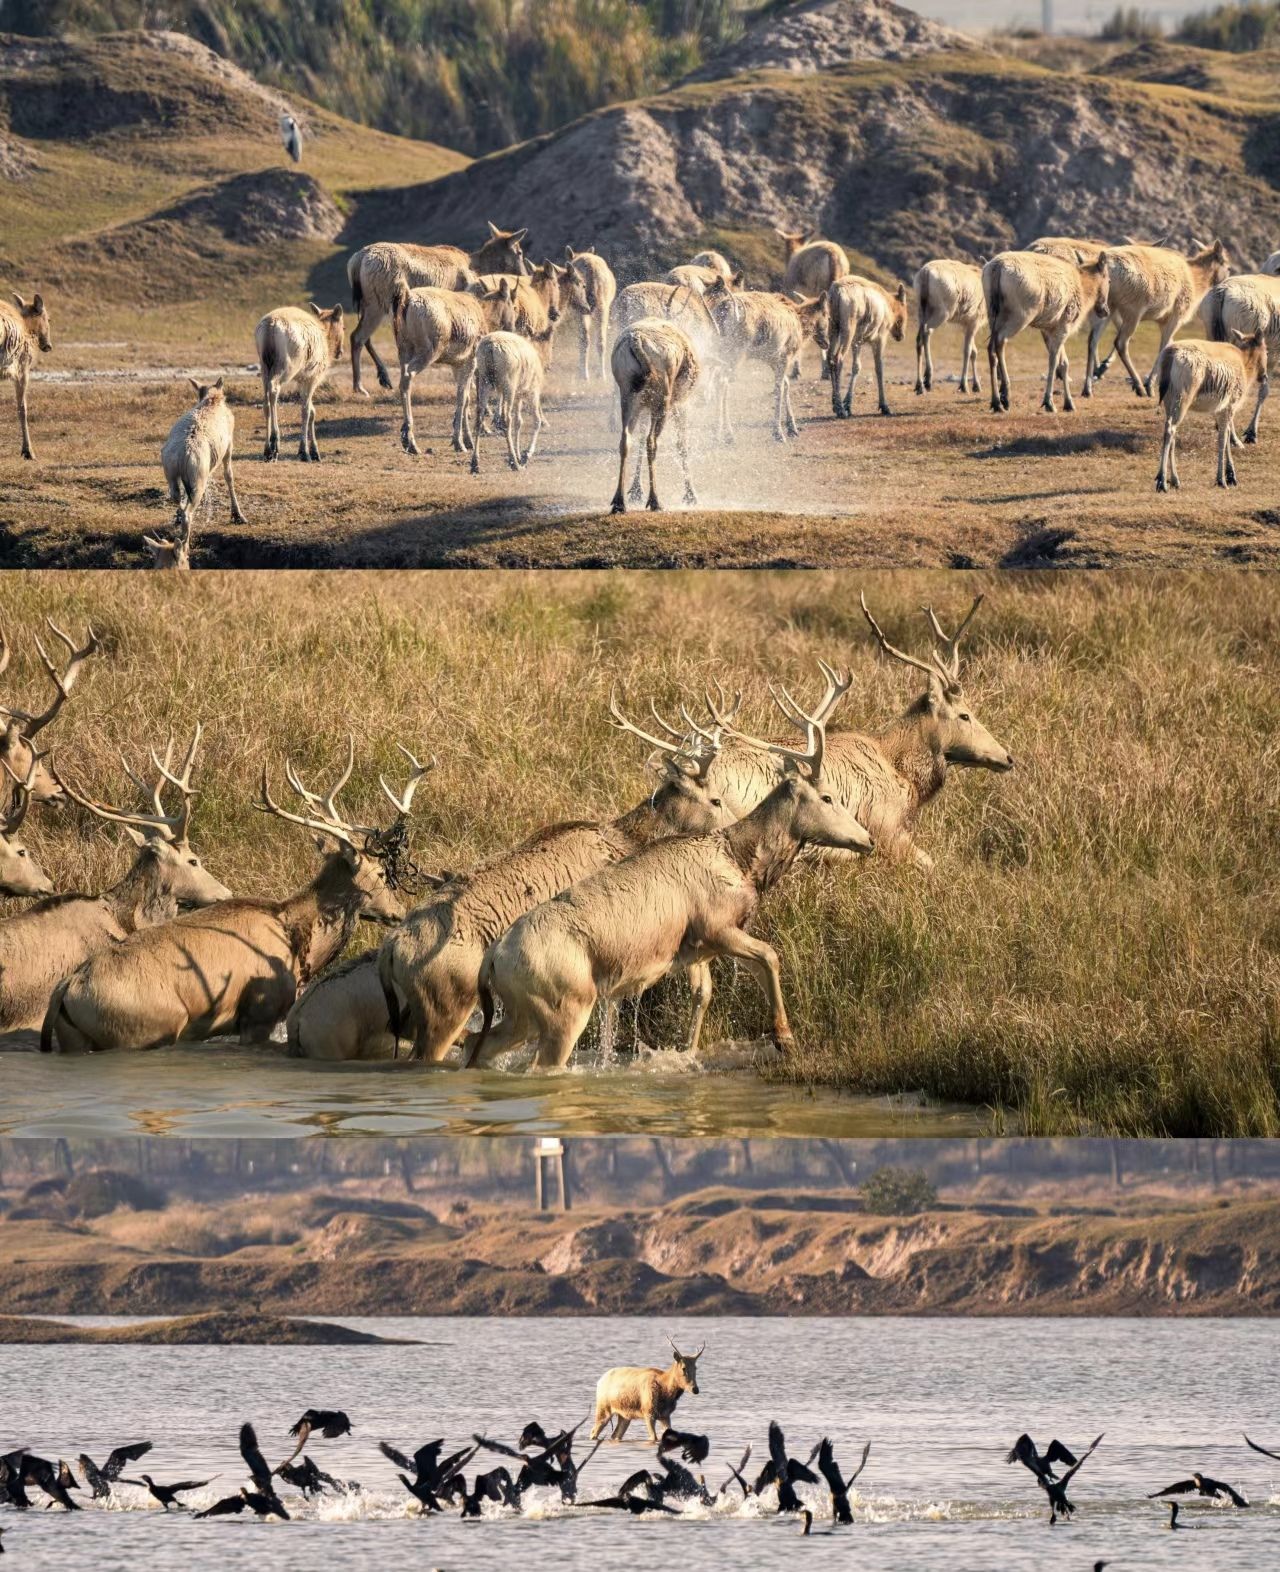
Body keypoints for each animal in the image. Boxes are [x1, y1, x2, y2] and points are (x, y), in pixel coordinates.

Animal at [41, 739, 429, 1053]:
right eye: (380, 873)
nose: (399, 910)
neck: (298, 944)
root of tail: (65, 989)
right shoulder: (260, 1012)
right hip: (148, 1028)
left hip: (74, 1037)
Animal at [347, 224, 530, 395]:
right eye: (520, 252)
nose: (525, 275)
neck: (478, 268)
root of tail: (357, 260)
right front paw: (470, 385)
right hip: (377, 305)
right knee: (358, 336)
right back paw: (359, 386)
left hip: (367, 304)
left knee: (364, 337)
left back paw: (382, 378)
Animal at [378, 695, 743, 1065]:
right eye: (716, 799)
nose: (734, 829)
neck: (627, 841)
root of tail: (390, 949)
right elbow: (696, 990)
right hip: (447, 1001)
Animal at [466, 669, 875, 1072]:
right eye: (828, 797)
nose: (868, 840)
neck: (744, 865)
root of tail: (492, 959)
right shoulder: (715, 926)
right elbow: (770, 956)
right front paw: (784, 1037)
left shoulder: (702, 948)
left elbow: (723, 984)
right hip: (565, 1005)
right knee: (537, 1065)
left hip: (522, 1013)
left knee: (475, 1043)